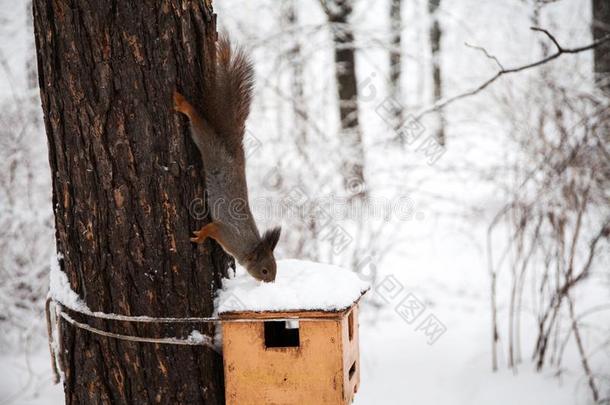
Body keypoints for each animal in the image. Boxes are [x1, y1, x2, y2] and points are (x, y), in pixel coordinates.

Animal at [173, 34, 280, 280]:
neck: (247, 247)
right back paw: (184, 105)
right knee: (200, 128)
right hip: (211, 149)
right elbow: (212, 228)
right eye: (264, 270)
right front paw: (201, 236)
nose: (270, 283)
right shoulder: (228, 234)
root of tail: (234, 153)